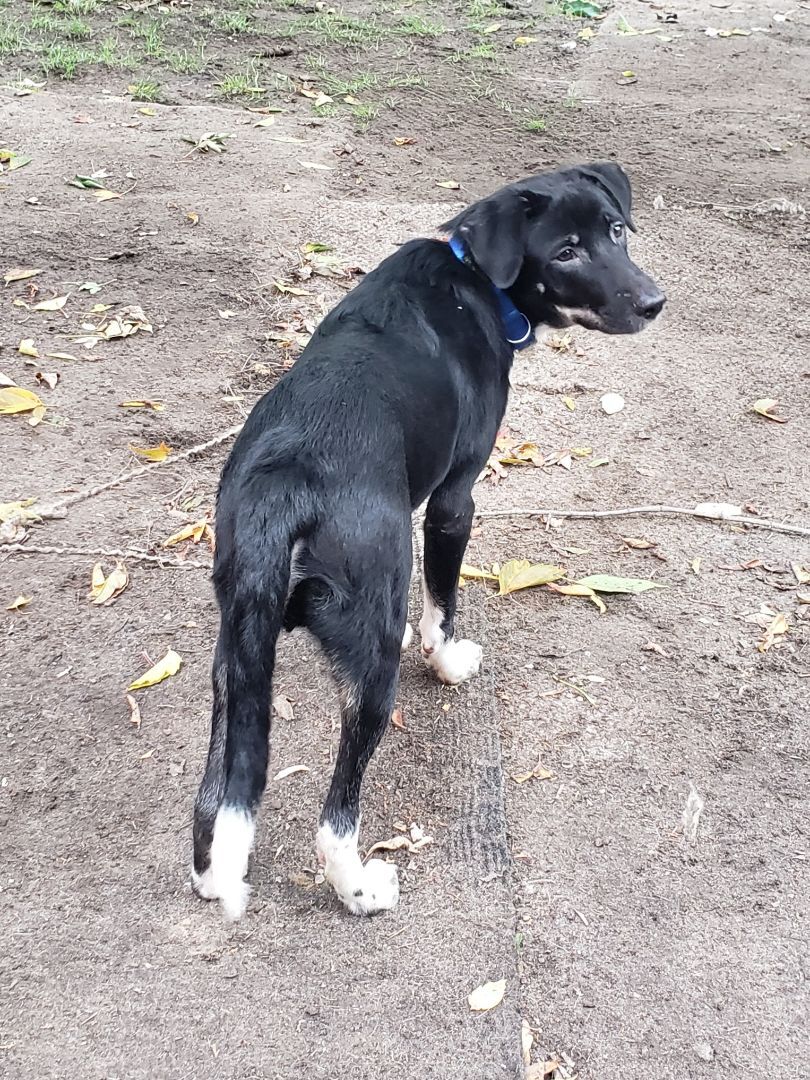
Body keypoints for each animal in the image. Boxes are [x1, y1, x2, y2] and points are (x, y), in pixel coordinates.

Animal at [192, 162, 665, 920]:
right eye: (565, 251)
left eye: (616, 230)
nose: (653, 302)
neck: (472, 275)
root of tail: (283, 488)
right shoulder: (453, 502)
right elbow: (443, 606)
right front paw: (447, 662)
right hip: (372, 652)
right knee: (335, 816)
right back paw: (359, 888)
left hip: (235, 655)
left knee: (221, 795)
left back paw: (214, 876)